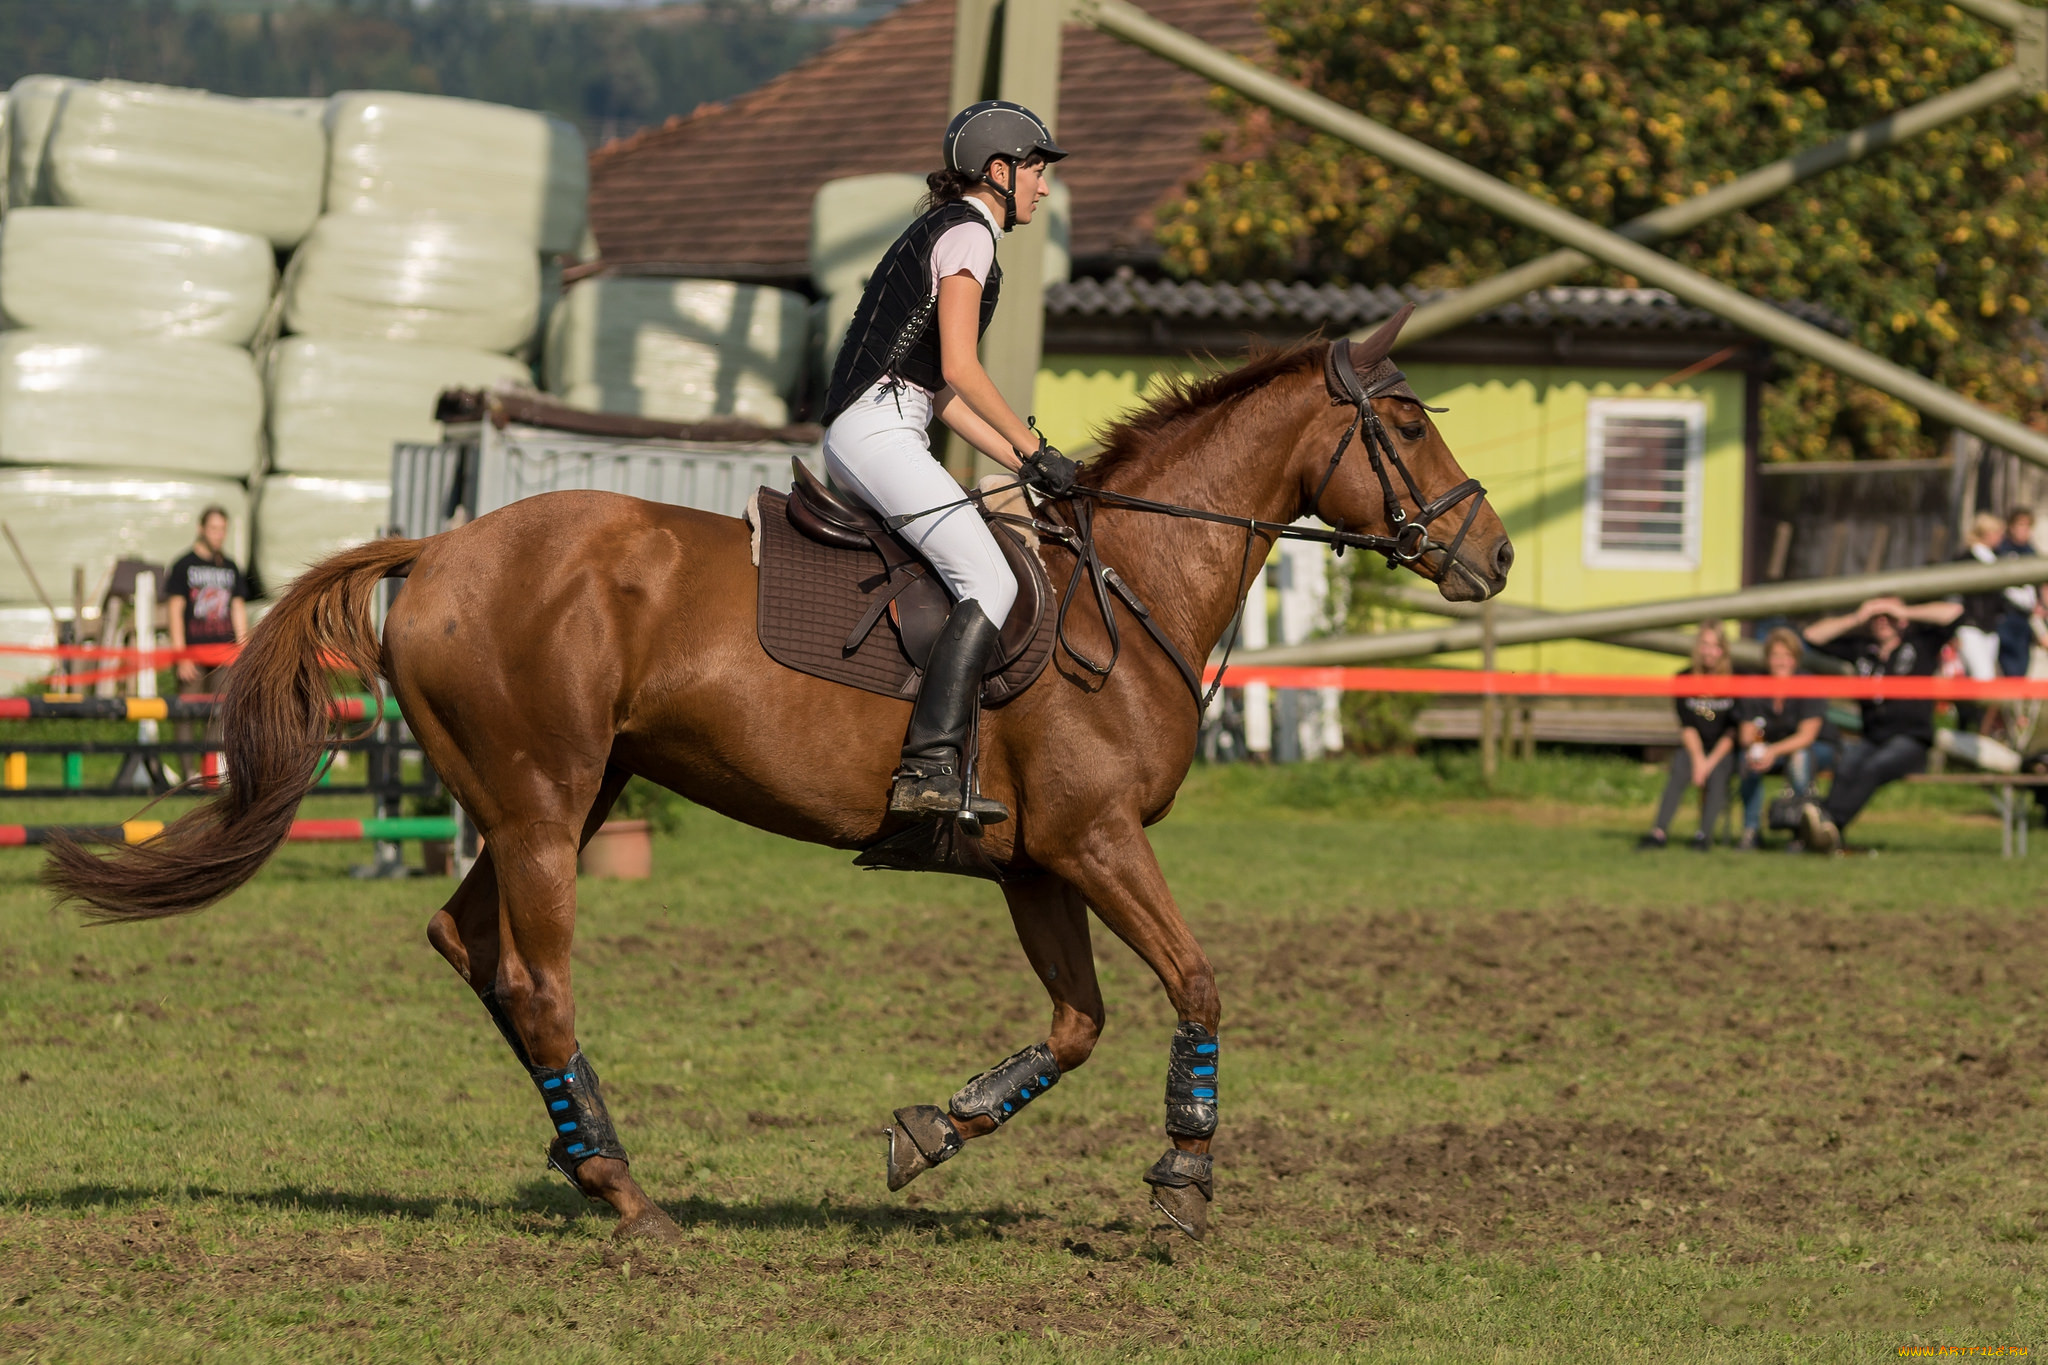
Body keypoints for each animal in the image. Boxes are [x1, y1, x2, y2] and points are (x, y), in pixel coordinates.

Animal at [44, 306, 1507, 1236]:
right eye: (1407, 428)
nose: (1488, 556)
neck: (1129, 584)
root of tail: (442, 548)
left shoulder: (1036, 862)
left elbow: (1077, 1022)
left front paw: (935, 1131)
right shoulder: (1097, 842)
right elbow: (1195, 982)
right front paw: (1185, 1182)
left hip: (559, 800)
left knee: (471, 948)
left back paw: (586, 1159)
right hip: (543, 803)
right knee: (533, 977)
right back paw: (628, 1196)